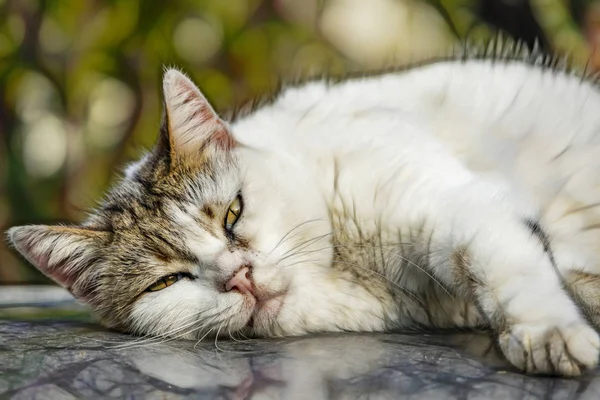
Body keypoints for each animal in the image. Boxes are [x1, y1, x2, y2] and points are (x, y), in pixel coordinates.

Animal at [7, 48, 600, 376]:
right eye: (166, 281)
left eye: (232, 214)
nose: (240, 277)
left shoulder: (458, 208)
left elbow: (511, 270)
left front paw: (548, 335)